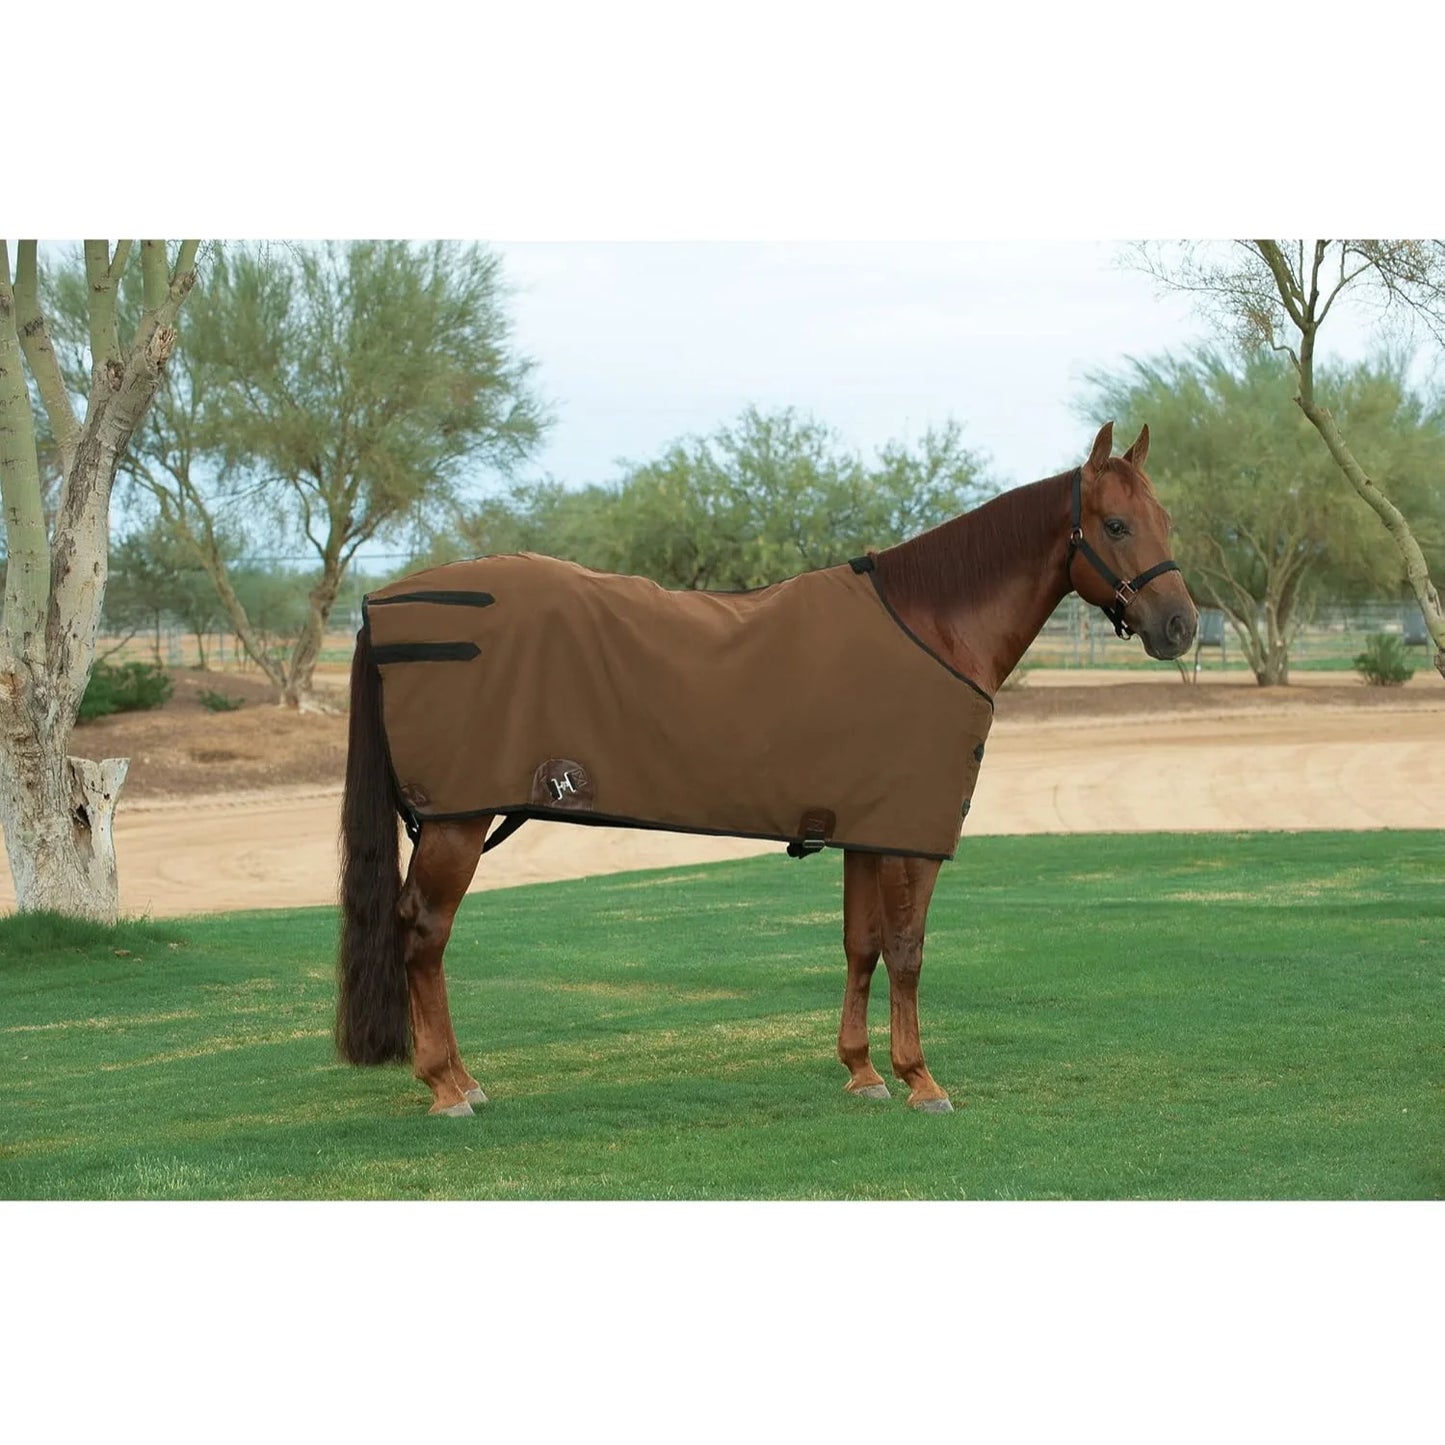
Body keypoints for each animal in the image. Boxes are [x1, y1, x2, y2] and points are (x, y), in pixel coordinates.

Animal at [334, 421, 1197, 1115]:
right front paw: (920, 1079)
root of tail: (384, 602)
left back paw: (463, 1078)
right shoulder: (909, 836)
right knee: (425, 931)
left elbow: (859, 944)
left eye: (1164, 520)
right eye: (1115, 523)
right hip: (458, 821)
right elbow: (907, 949)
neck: (931, 627)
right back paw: (447, 1086)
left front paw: (861, 1073)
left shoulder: (863, 829)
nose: (1180, 627)